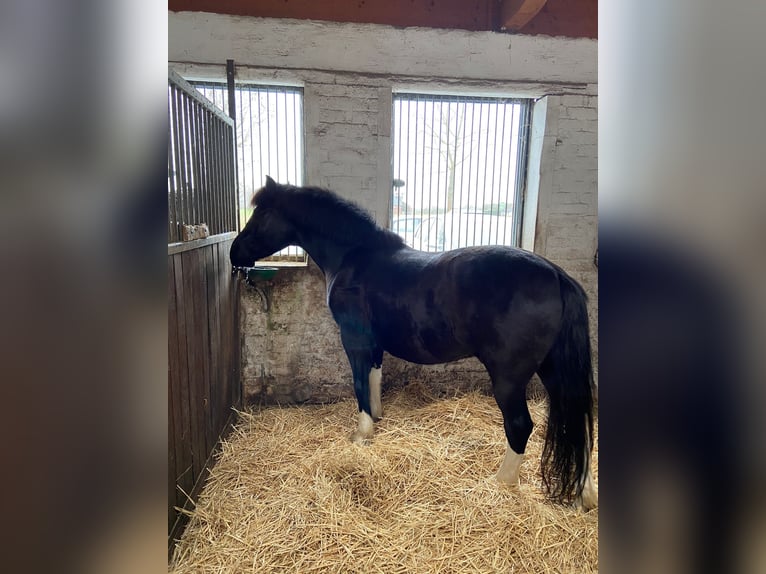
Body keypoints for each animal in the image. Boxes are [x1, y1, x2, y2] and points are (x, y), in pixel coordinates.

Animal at [232, 178, 600, 510]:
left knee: (521, 425)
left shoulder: (354, 340)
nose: (235, 253)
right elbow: (375, 378)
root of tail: (556, 275)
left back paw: (500, 483)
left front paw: (362, 434)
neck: (354, 258)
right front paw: (377, 420)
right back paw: (585, 495)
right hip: (554, 370)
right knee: (576, 423)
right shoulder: (374, 344)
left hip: (509, 378)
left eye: (261, 215)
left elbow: (359, 384)